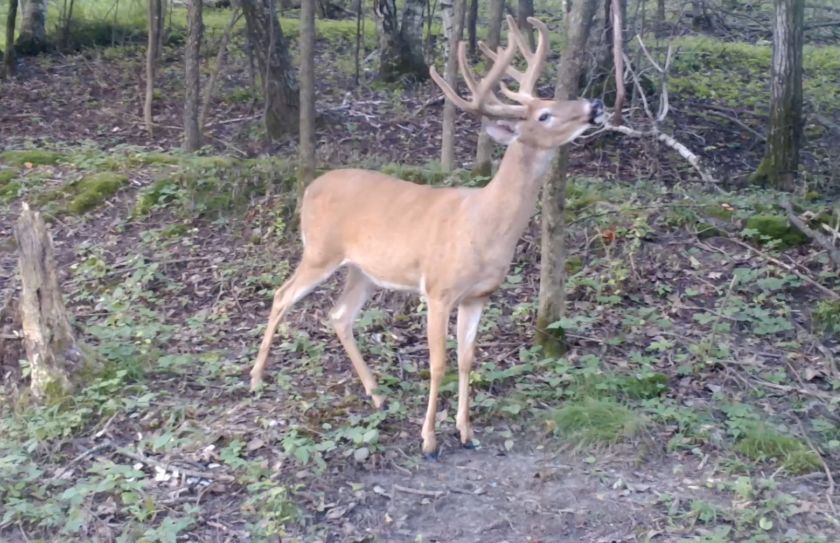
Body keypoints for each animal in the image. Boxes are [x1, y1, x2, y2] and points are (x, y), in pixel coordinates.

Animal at [249, 15, 604, 460]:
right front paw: (429, 440)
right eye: (544, 115)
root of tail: (310, 189)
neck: (485, 225)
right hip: (319, 250)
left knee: (339, 315)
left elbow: (468, 359)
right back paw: (256, 378)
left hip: (363, 270)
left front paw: (466, 431)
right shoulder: (438, 289)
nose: (595, 106)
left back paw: (377, 394)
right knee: (282, 295)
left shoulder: (478, 296)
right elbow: (438, 363)